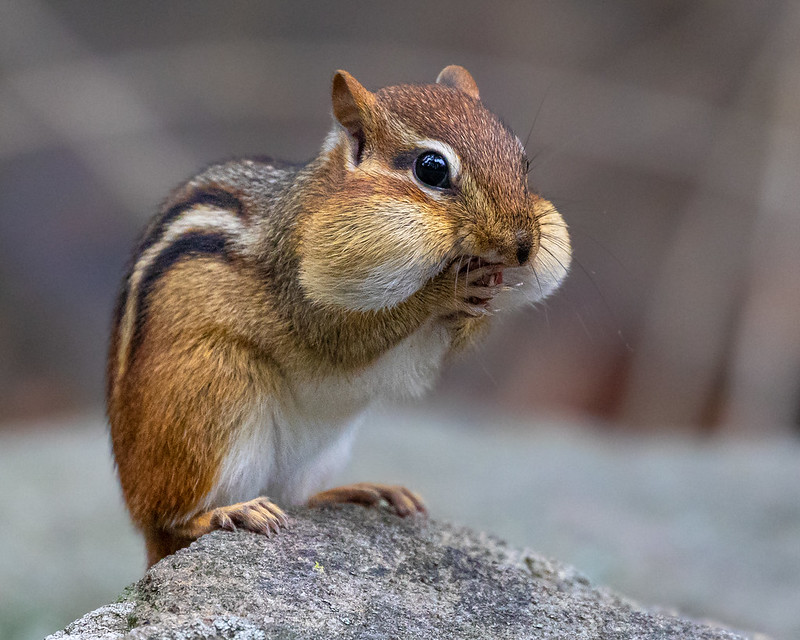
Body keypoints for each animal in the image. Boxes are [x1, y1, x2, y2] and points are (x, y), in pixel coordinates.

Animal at [107, 65, 571, 567]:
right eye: (431, 169)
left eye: (523, 163)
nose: (523, 247)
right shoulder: (298, 294)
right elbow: (342, 337)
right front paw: (444, 291)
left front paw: (482, 299)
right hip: (213, 391)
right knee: (173, 521)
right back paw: (230, 512)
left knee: (297, 496)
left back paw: (361, 492)